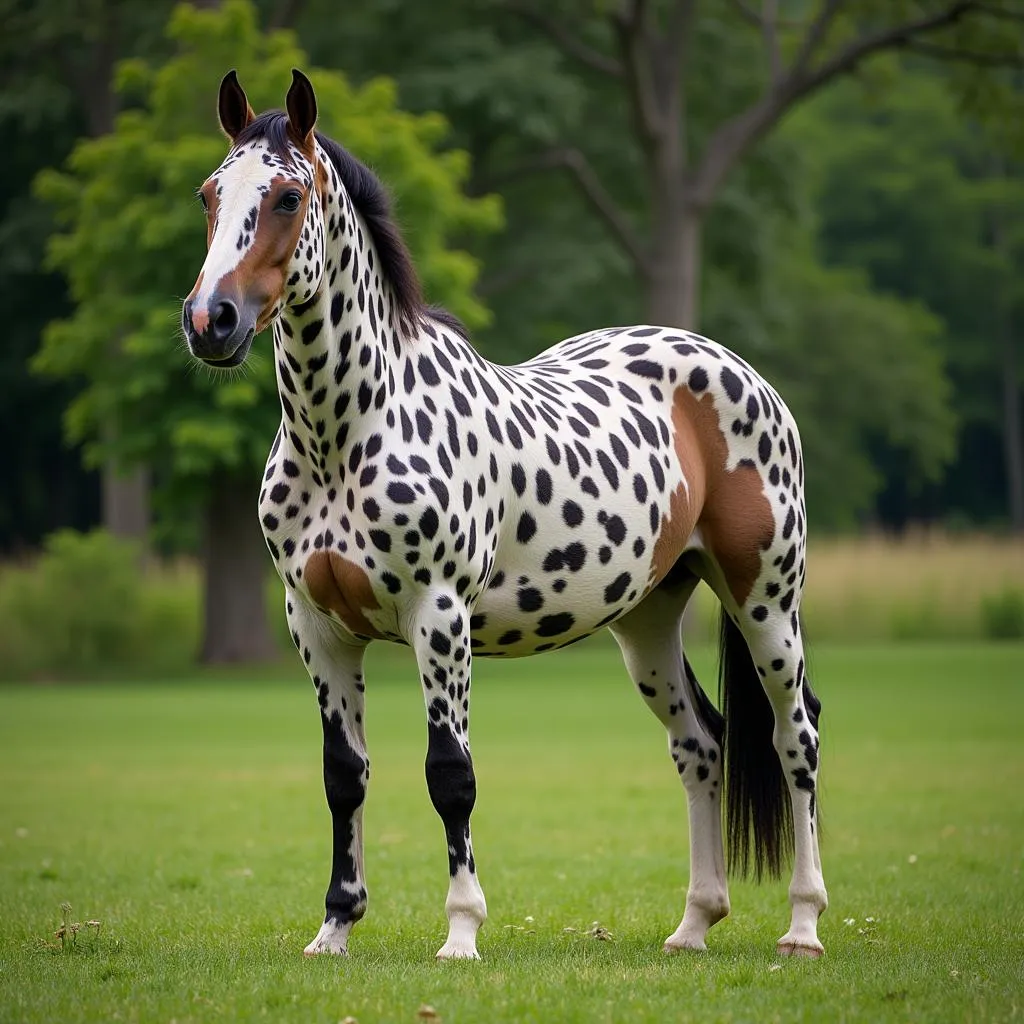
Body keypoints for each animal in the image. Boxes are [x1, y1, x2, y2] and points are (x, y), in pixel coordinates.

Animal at [182, 70, 823, 958]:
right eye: (211, 193)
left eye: (285, 196)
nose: (211, 321)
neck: (347, 431)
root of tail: (736, 370)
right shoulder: (315, 625)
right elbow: (344, 777)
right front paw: (335, 927)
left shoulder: (438, 617)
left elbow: (450, 775)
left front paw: (461, 931)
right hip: (648, 620)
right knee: (701, 744)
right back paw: (694, 923)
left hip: (765, 601)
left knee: (794, 739)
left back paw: (803, 925)